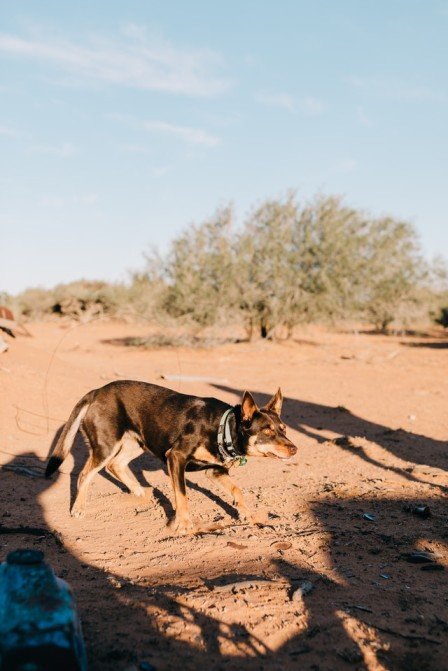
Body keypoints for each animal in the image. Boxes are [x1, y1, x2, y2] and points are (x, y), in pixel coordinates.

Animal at [46, 380, 298, 532]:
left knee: (115, 465)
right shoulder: (176, 458)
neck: (223, 426)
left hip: (138, 441)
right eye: (267, 432)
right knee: (85, 474)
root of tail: (96, 391)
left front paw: (245, 512)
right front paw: (185, 524)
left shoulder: (214, 471)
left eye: (283, 429)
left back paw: (139, 491)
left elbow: (237, 489)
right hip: (106, 445)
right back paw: (79, 508)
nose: (295, 449)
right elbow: (182, 495)